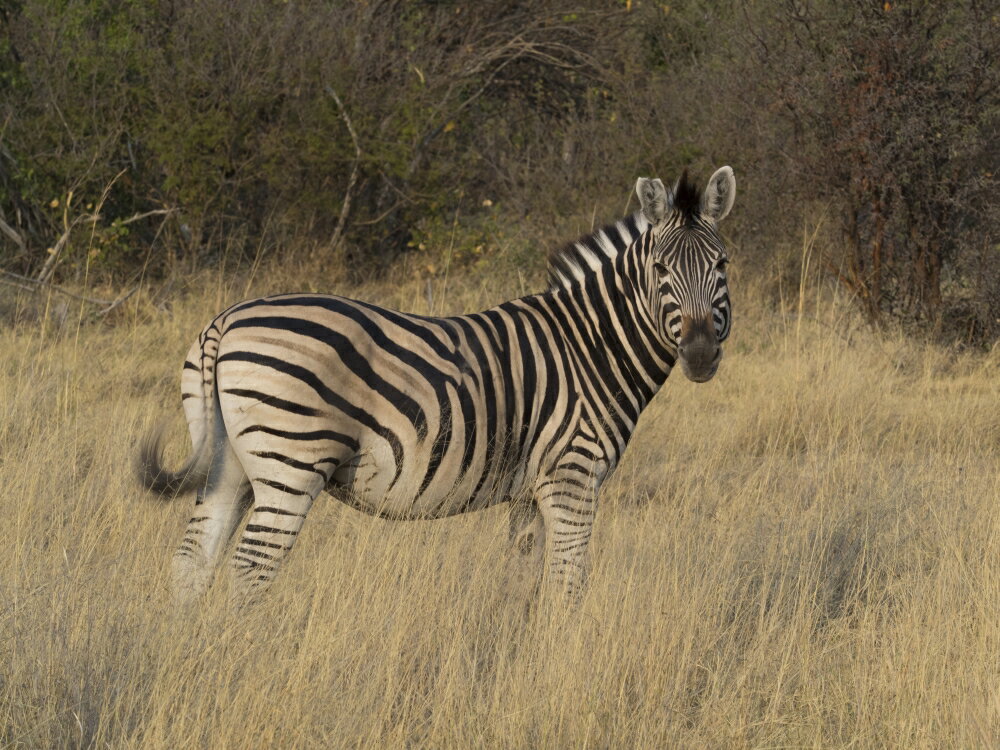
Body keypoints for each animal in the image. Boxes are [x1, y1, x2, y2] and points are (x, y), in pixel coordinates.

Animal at [139, 167, 736, 608]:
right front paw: (563, 662)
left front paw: (513, 656)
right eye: (660, 269)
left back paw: (188, 656)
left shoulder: (528, 491)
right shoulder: (572, 476)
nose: (701, 354)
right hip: (291, 461)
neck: (591, 345)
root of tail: (225, 321)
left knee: (192, 560)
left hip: (232, 463)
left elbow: (522, 583)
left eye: (723, 265)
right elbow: (569, 586)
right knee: (250, 570)